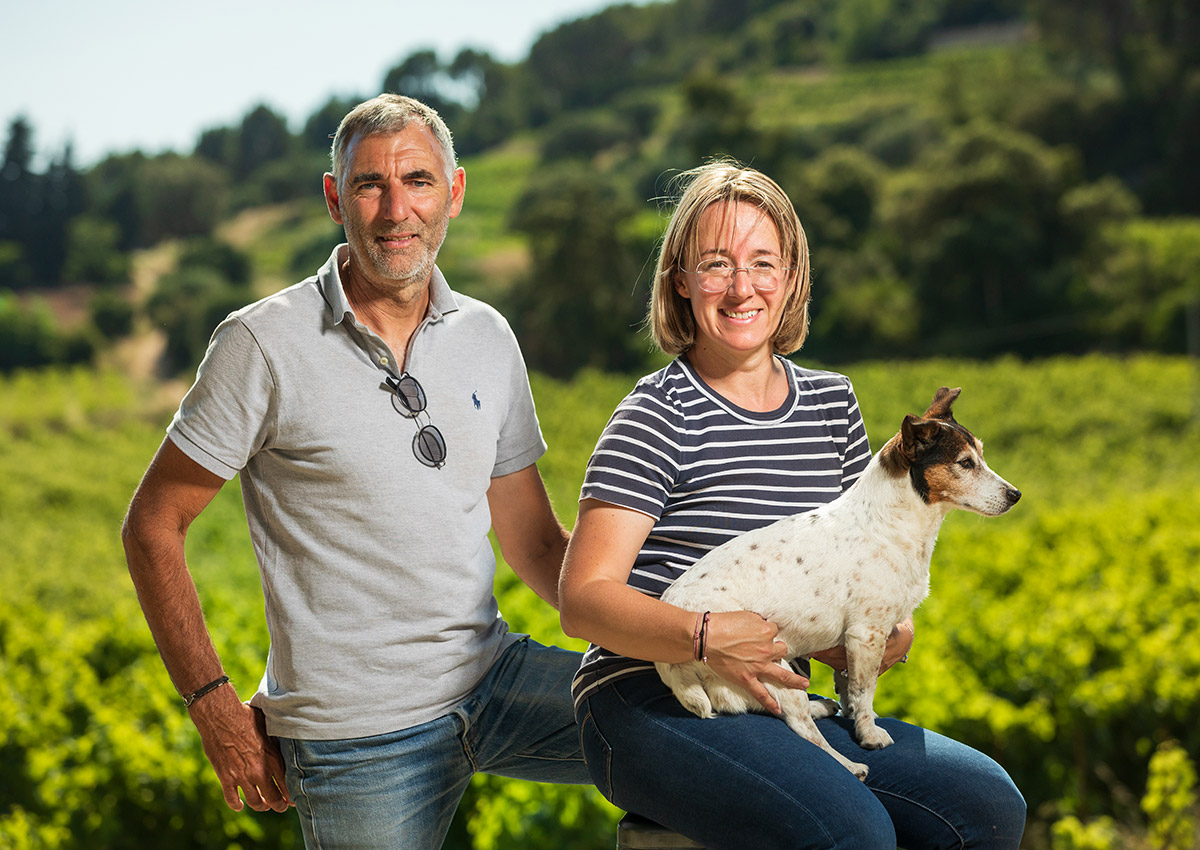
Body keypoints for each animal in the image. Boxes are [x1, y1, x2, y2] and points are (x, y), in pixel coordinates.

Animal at [657, 388, 1022, 777]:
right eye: (965, 463)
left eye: (980, 456)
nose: (1016, 495)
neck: (890, 523)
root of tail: (672, 667)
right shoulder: (866, 634)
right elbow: (865, 691)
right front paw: (869, 734)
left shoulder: (856, 645)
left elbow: (850, 687)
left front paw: (856, 717)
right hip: (770, 667)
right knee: (803, 729)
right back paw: (849, 764)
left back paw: (821, 708)